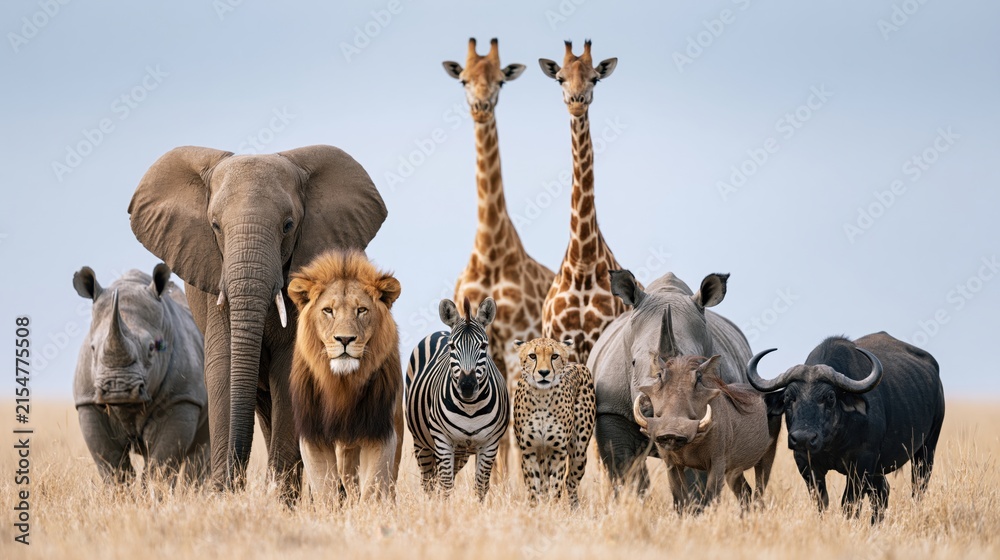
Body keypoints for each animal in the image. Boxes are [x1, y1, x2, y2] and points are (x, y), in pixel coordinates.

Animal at [72, 264, 209, 484]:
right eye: (92, 348)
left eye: (152, 347)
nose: (118, 388)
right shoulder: (87, 401)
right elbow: (111, 464)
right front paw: (120, 492)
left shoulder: (182, 398)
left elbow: (162, 462)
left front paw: (156, 492)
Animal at [128, 145, 388, 501]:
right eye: (215, 226)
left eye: (288, 225)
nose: (233, 483)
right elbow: (223, 369)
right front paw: (224, 497)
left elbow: (288, 370)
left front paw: (280, 501)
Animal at [287, 250, 403, 501]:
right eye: (328, 311)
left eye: (361, 310)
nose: (345, 339)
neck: (342, 383)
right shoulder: (313, 436)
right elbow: (325, 491)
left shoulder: (379, 432)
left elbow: (372, 489)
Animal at [405, 297, 510, 500]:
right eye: (452, 346)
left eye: (484, 346)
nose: (467, 386)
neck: (470, 407)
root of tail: (440, 331)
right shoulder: (442, 439)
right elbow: (446, 484)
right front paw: (445, 508)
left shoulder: (490, 443)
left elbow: (481, 486)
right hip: (421, 443)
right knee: (428, 481)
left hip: (461, 452)